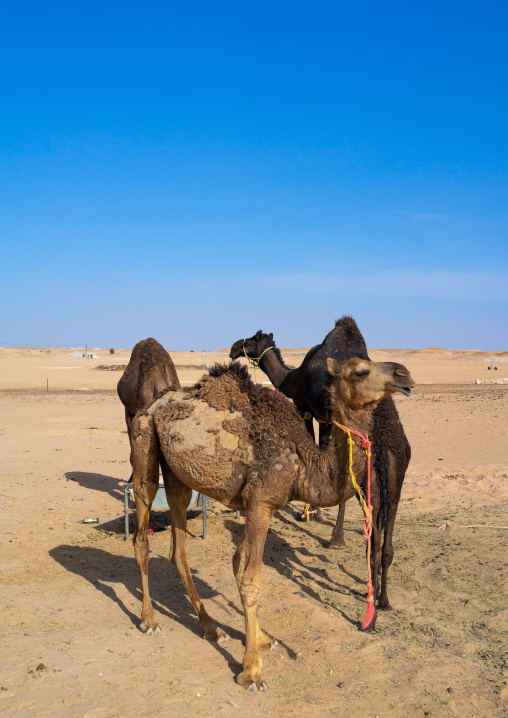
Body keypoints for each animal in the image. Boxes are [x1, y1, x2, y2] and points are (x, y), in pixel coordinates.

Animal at [130, 357, 414, 691]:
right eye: (360, 371)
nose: (404, 375)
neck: (303, 464)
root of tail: (152, 405)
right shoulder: (261, 503)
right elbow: (251, 582)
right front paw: (252, 671)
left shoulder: (252, 503)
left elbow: (238, 564)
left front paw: (261, 638)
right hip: (145, 446)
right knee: (142, 532)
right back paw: (149, 619)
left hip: (178, 476)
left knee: (178, 548)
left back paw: (212, 629)